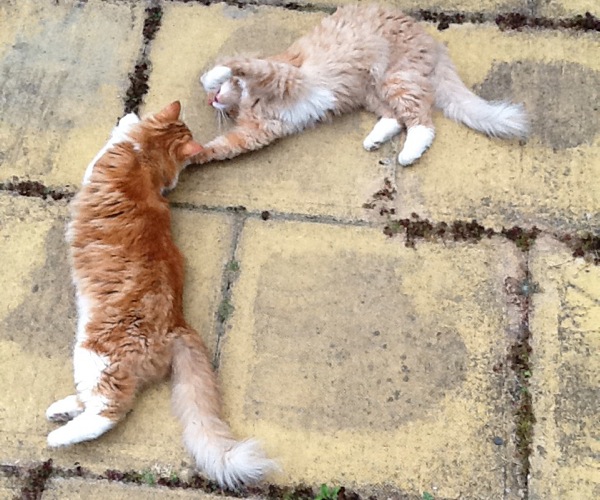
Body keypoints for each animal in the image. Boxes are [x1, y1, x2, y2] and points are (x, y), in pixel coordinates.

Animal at [46, 101, 276, 488]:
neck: (144, 158)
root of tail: (177, 324)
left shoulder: (101, 162)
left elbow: (122, 131)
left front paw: (128, 118)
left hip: (95, 354)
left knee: (108, 409)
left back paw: (59, 435)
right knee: (88, 400)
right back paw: (58, 411)